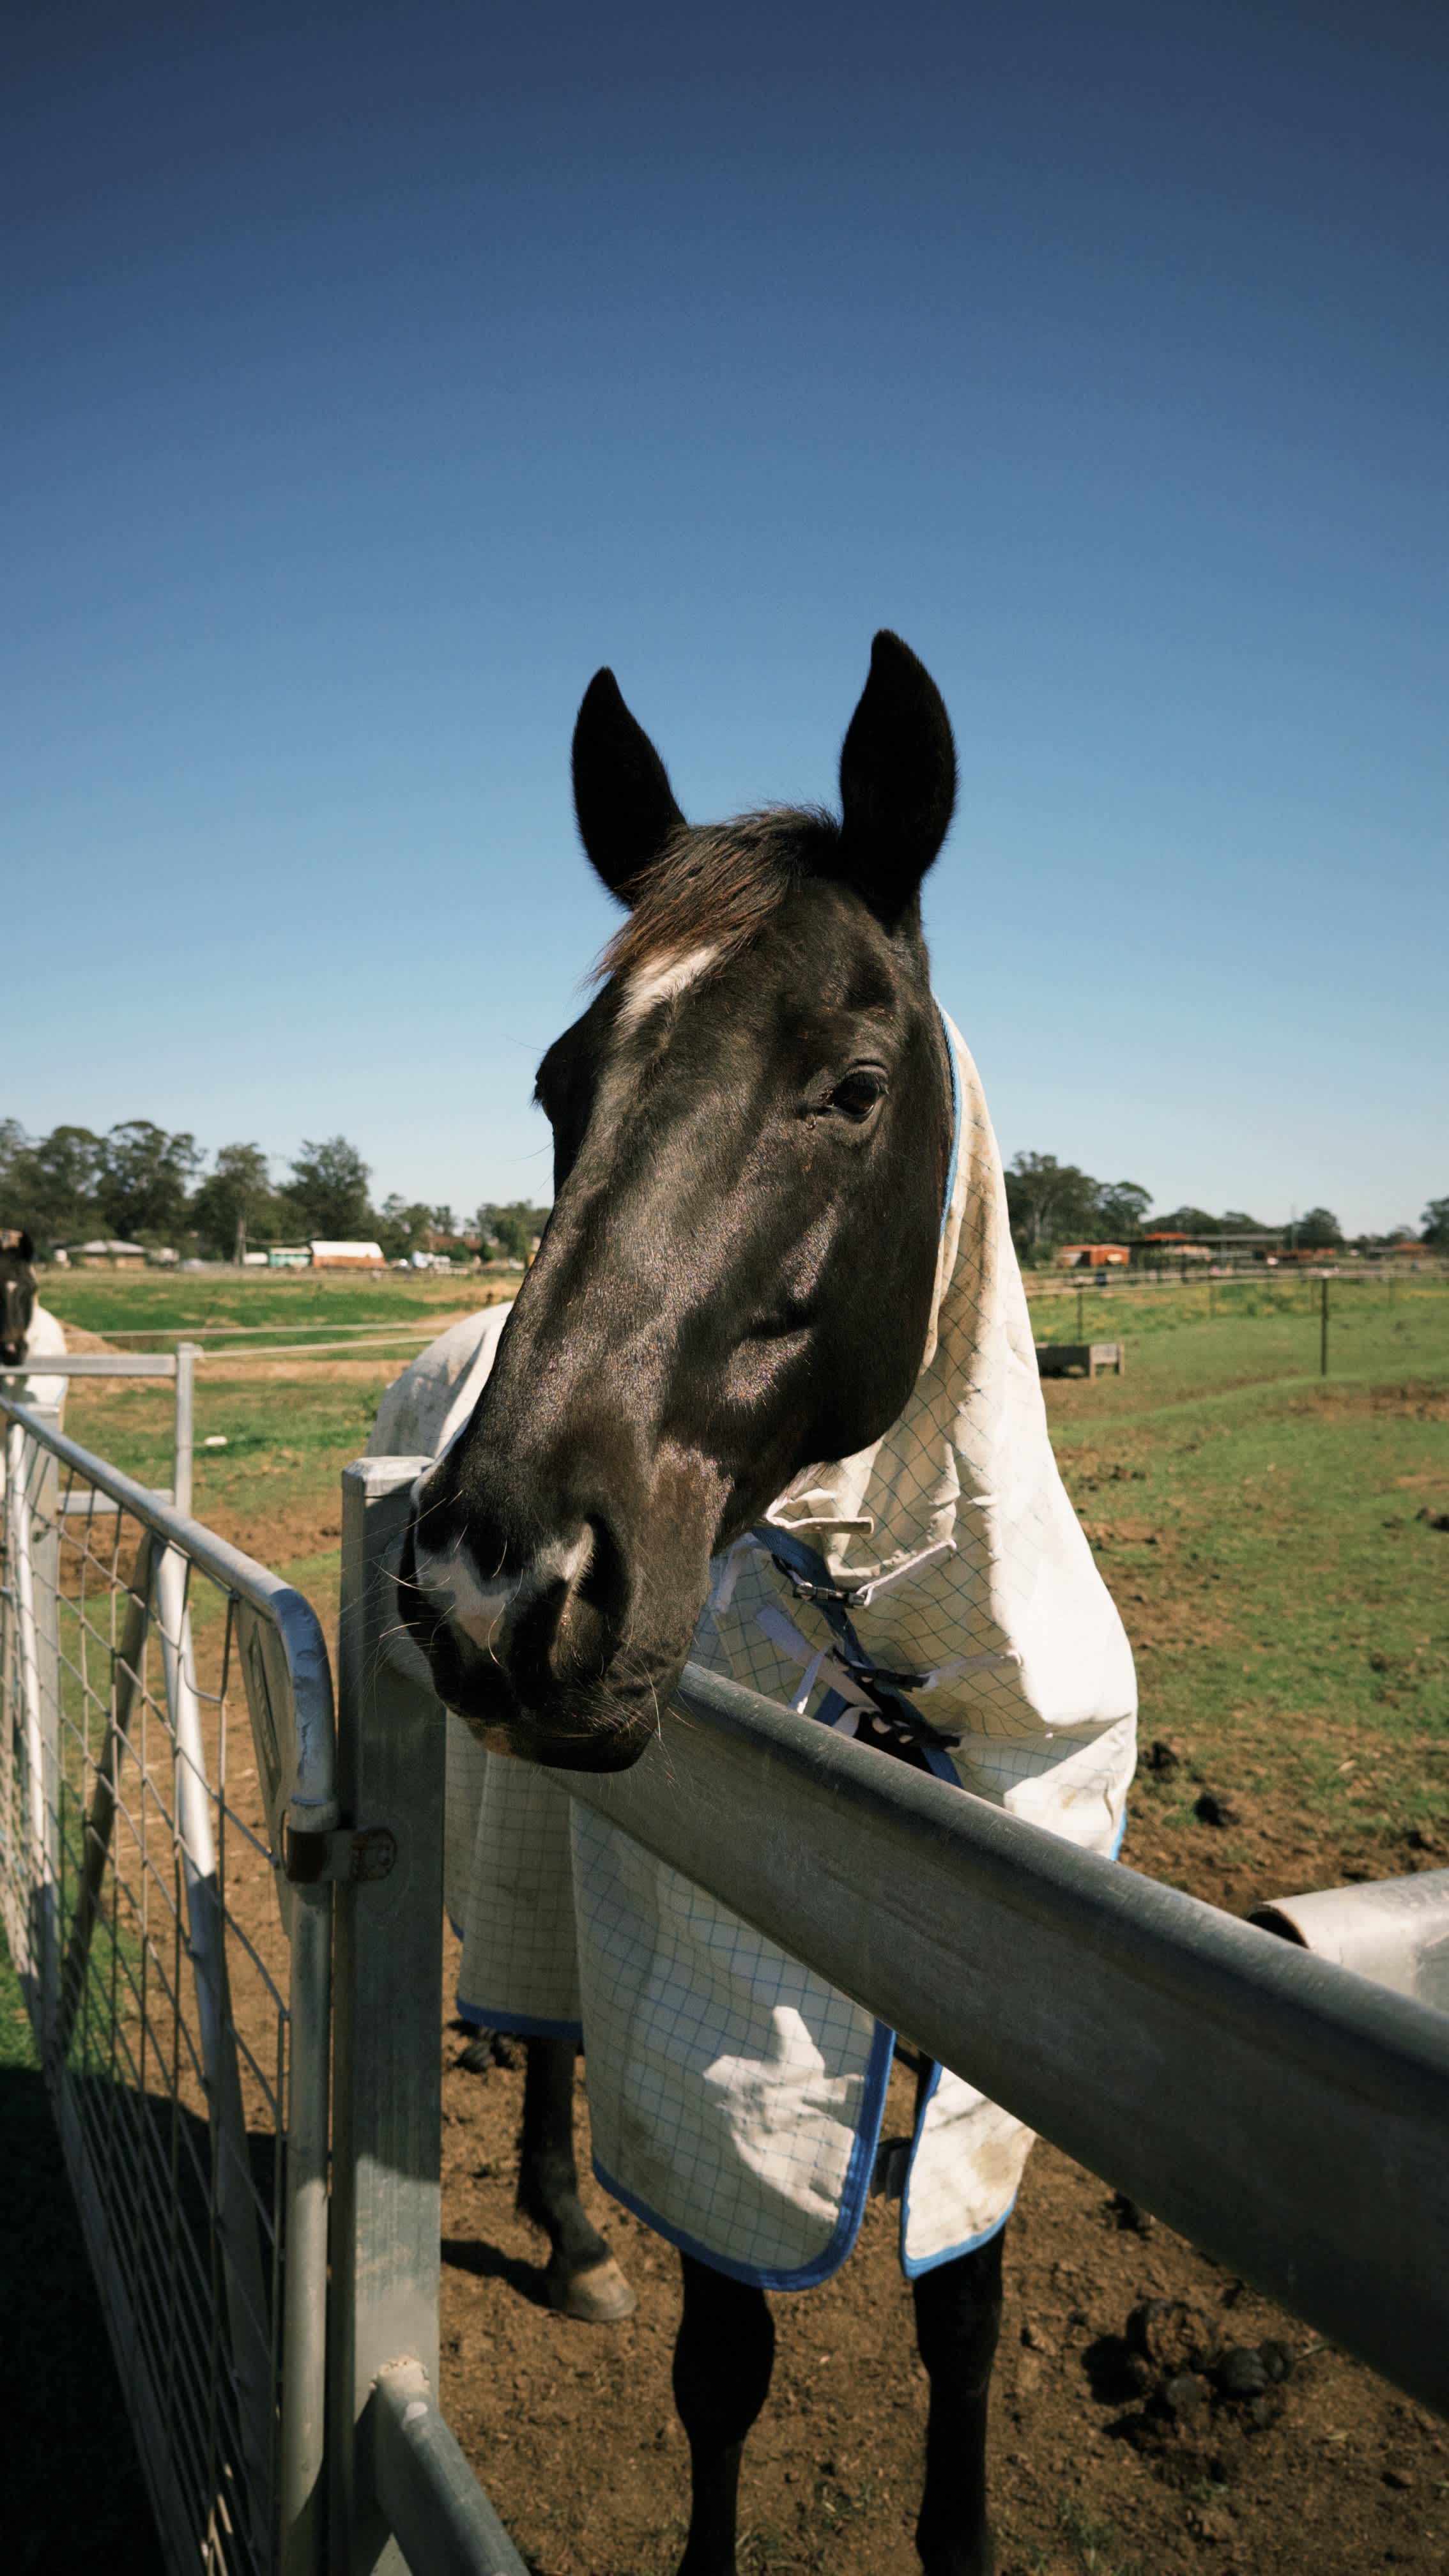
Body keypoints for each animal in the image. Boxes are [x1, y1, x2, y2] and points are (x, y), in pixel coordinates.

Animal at [383, 633, 1137, 2576]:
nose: (500, 1579)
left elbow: (965, 2321)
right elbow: (724, 2359)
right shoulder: (718, 2063)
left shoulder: (1000, 2048)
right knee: (545, 2027)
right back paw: (572, 2231)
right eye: (558, 1087)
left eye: (852, 1084)